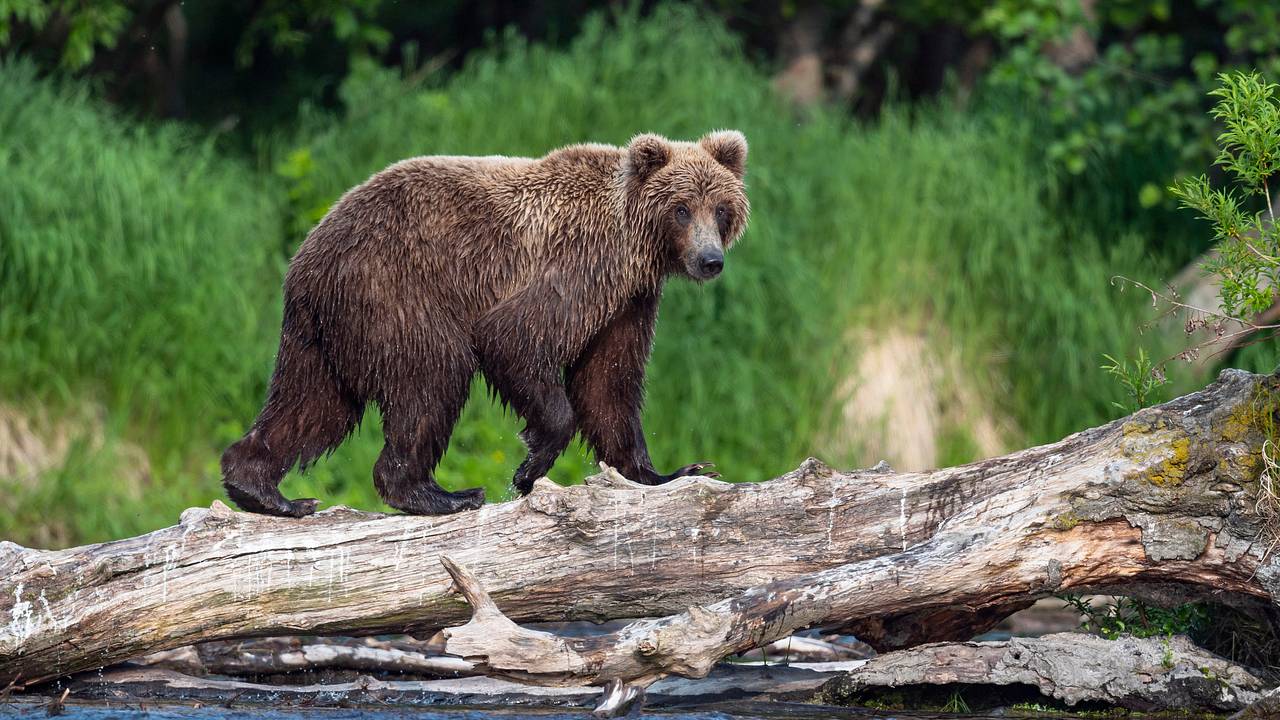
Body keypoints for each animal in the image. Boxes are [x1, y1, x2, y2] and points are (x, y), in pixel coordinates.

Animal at [221, 130, 747, 515]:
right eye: (681, 208)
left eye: (721, 208)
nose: (710, 260)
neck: (634, 247)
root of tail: (305, 257)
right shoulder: (577, 268)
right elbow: (514, 337)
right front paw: (529, 467)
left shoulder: (627, 302)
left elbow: (608, 384)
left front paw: (673, 472)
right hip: (394, 290)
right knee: (432, 376)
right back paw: (441, 494)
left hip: (327, 332)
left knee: (312, 405)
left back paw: (264, 490)